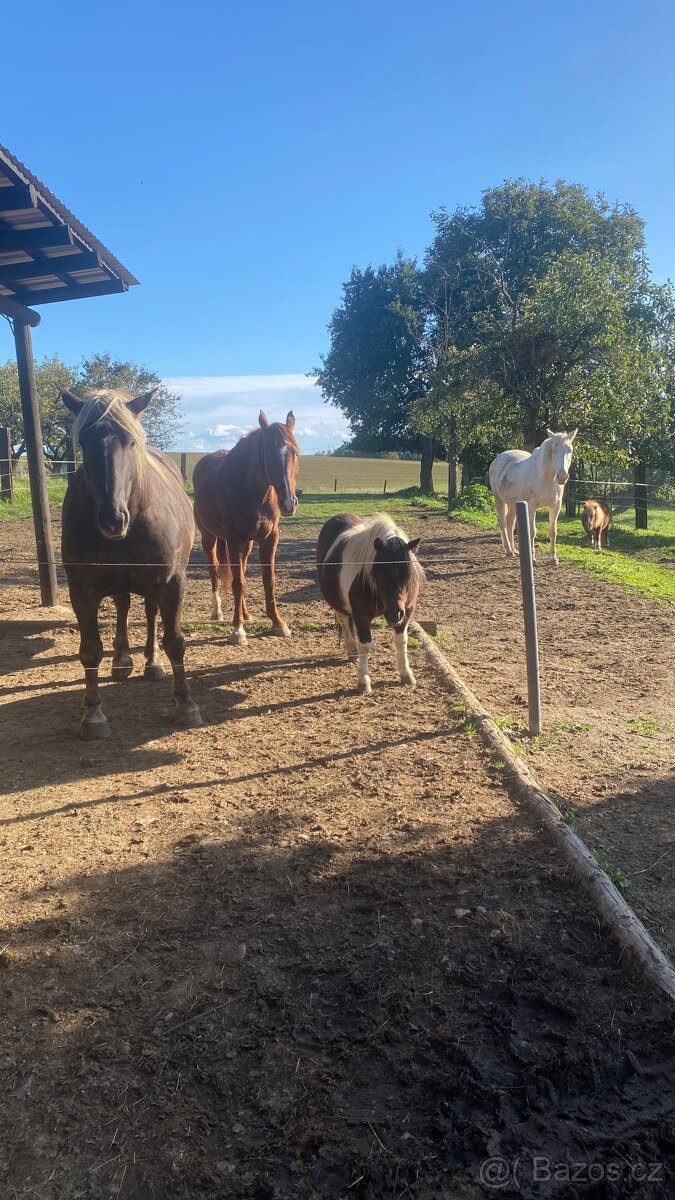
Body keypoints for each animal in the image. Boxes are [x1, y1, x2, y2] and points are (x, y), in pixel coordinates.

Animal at [60, 388, 202, 739]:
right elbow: (90, 650)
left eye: (131, 442)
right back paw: (122, 660)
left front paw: (186, 706)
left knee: (150, 614)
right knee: (123, 605)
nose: (113, 519)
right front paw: (93, 715)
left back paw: (152, 663)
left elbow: (175, 642)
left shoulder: (171, 584)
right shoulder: (82, 591)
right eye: (84, 443)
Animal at [192, 410, 299, 647]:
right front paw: (237, 630)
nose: (288, 503)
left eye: (296, 452)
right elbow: (238, 583)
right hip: (209, 537)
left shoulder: (269, 539)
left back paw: (246, 613)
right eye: (268, 454)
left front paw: (278, 623)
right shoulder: (234, 540)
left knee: (239, 569)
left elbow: (267, 581)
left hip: (247, 544)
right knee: (214, 569)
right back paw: (218, 612)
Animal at [316, 513, 424, 695]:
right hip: (338, 604)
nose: (395, 613)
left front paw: (406, 674)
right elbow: (365, 645)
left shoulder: (407, 612)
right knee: (344, 622)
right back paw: (352, 650)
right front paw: (363, 681)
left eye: (408, 575)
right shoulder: (362, 616)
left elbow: (401, 641)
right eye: (380, 574)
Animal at [488, 428, 578, 565]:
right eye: (554, 450)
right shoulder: (531, 507)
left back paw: (514, 550)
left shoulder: (555, 506)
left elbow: (553, 531)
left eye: (570, 450)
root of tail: (498, 458)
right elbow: (531, 531)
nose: (562, 476)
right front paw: (533, 558)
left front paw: (554, 558)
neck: (546, 478)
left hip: (514, 504)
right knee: (502, 523)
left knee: (510, 522)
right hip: (499, 500)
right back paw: (508, 550)